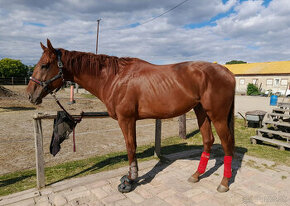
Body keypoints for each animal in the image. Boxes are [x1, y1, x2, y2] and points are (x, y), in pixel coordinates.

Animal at [27, 39, 236, 193]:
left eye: (44, 65)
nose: (30, 94)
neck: (115, 78)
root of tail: (227, 72)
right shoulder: (131, 120)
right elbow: (132, 146)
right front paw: (130, 177)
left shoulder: (126, 120)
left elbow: (130, 147)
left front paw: (129, 180)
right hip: (201, 112)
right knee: (208, 140)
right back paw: (196, 175)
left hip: (217, 116)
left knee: (227, 144)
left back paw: (224, 183)